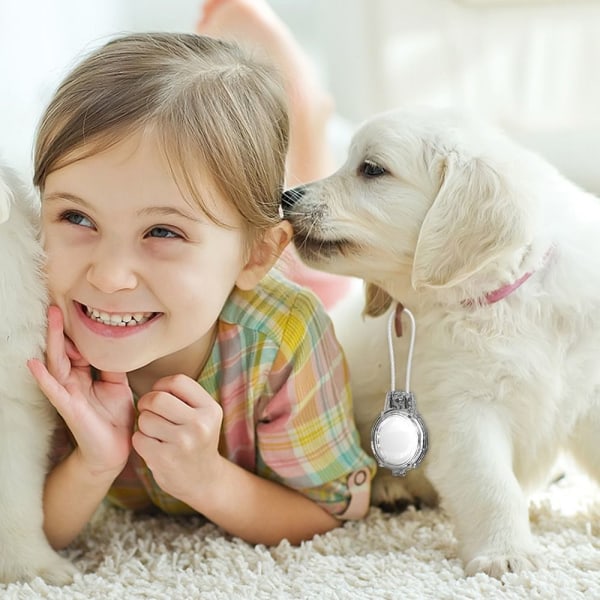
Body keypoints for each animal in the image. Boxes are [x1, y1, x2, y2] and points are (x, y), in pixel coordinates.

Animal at [284, 108, 600, 576]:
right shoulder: (464, 409)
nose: (286, 197)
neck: (503, 300)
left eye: (371, 169)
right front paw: (506, 553)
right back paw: (391, 491)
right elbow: (492, 486)